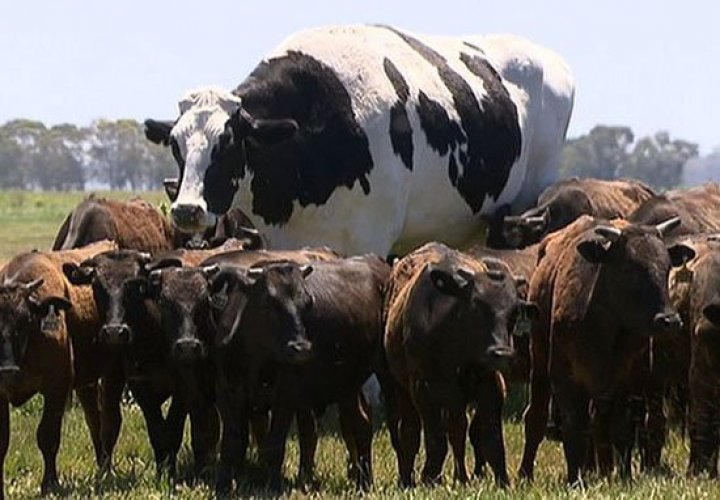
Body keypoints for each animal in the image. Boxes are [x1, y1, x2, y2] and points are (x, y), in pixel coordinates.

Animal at [0, 240, 116, 498]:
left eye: (25, 321)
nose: (7, 370)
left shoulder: (57, 387)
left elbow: (47, 436)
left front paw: (50, 483)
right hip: (86, 383)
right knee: (94, 419)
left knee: (107, 421)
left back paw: (106, 469)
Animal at [205, 256, 390, 490]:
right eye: (267, 303)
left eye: (308, 303)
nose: (300, 348)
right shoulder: (226, 389)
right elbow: (231, 441)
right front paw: (223, 484)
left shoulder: (287, 395)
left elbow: (275, 445)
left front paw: (274, 485)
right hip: (347, 386)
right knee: (360, 422)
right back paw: (361, 480)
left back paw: (365, 481)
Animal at [382, 242, 536, 484]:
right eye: (475, 306)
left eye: (513, 314)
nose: (501, 353)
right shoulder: (423, 387)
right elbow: (436, 438)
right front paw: (430, 476)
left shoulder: (489, 383)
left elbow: (490, 437)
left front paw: (501, 480)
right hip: (402, 388)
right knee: (411, 431)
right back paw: (407, 478)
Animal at [520, 216, 696, 484]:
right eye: (630, 269)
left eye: (667, 268)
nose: (670, 320)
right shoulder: (565, 378)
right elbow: (574, 426)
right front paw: (574, 479)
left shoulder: (628, 381)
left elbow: (622, 429)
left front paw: (624, 476)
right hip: (539, 360)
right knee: (536, 416)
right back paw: (526, 473)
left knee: (600, 423)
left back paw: (600, 469)